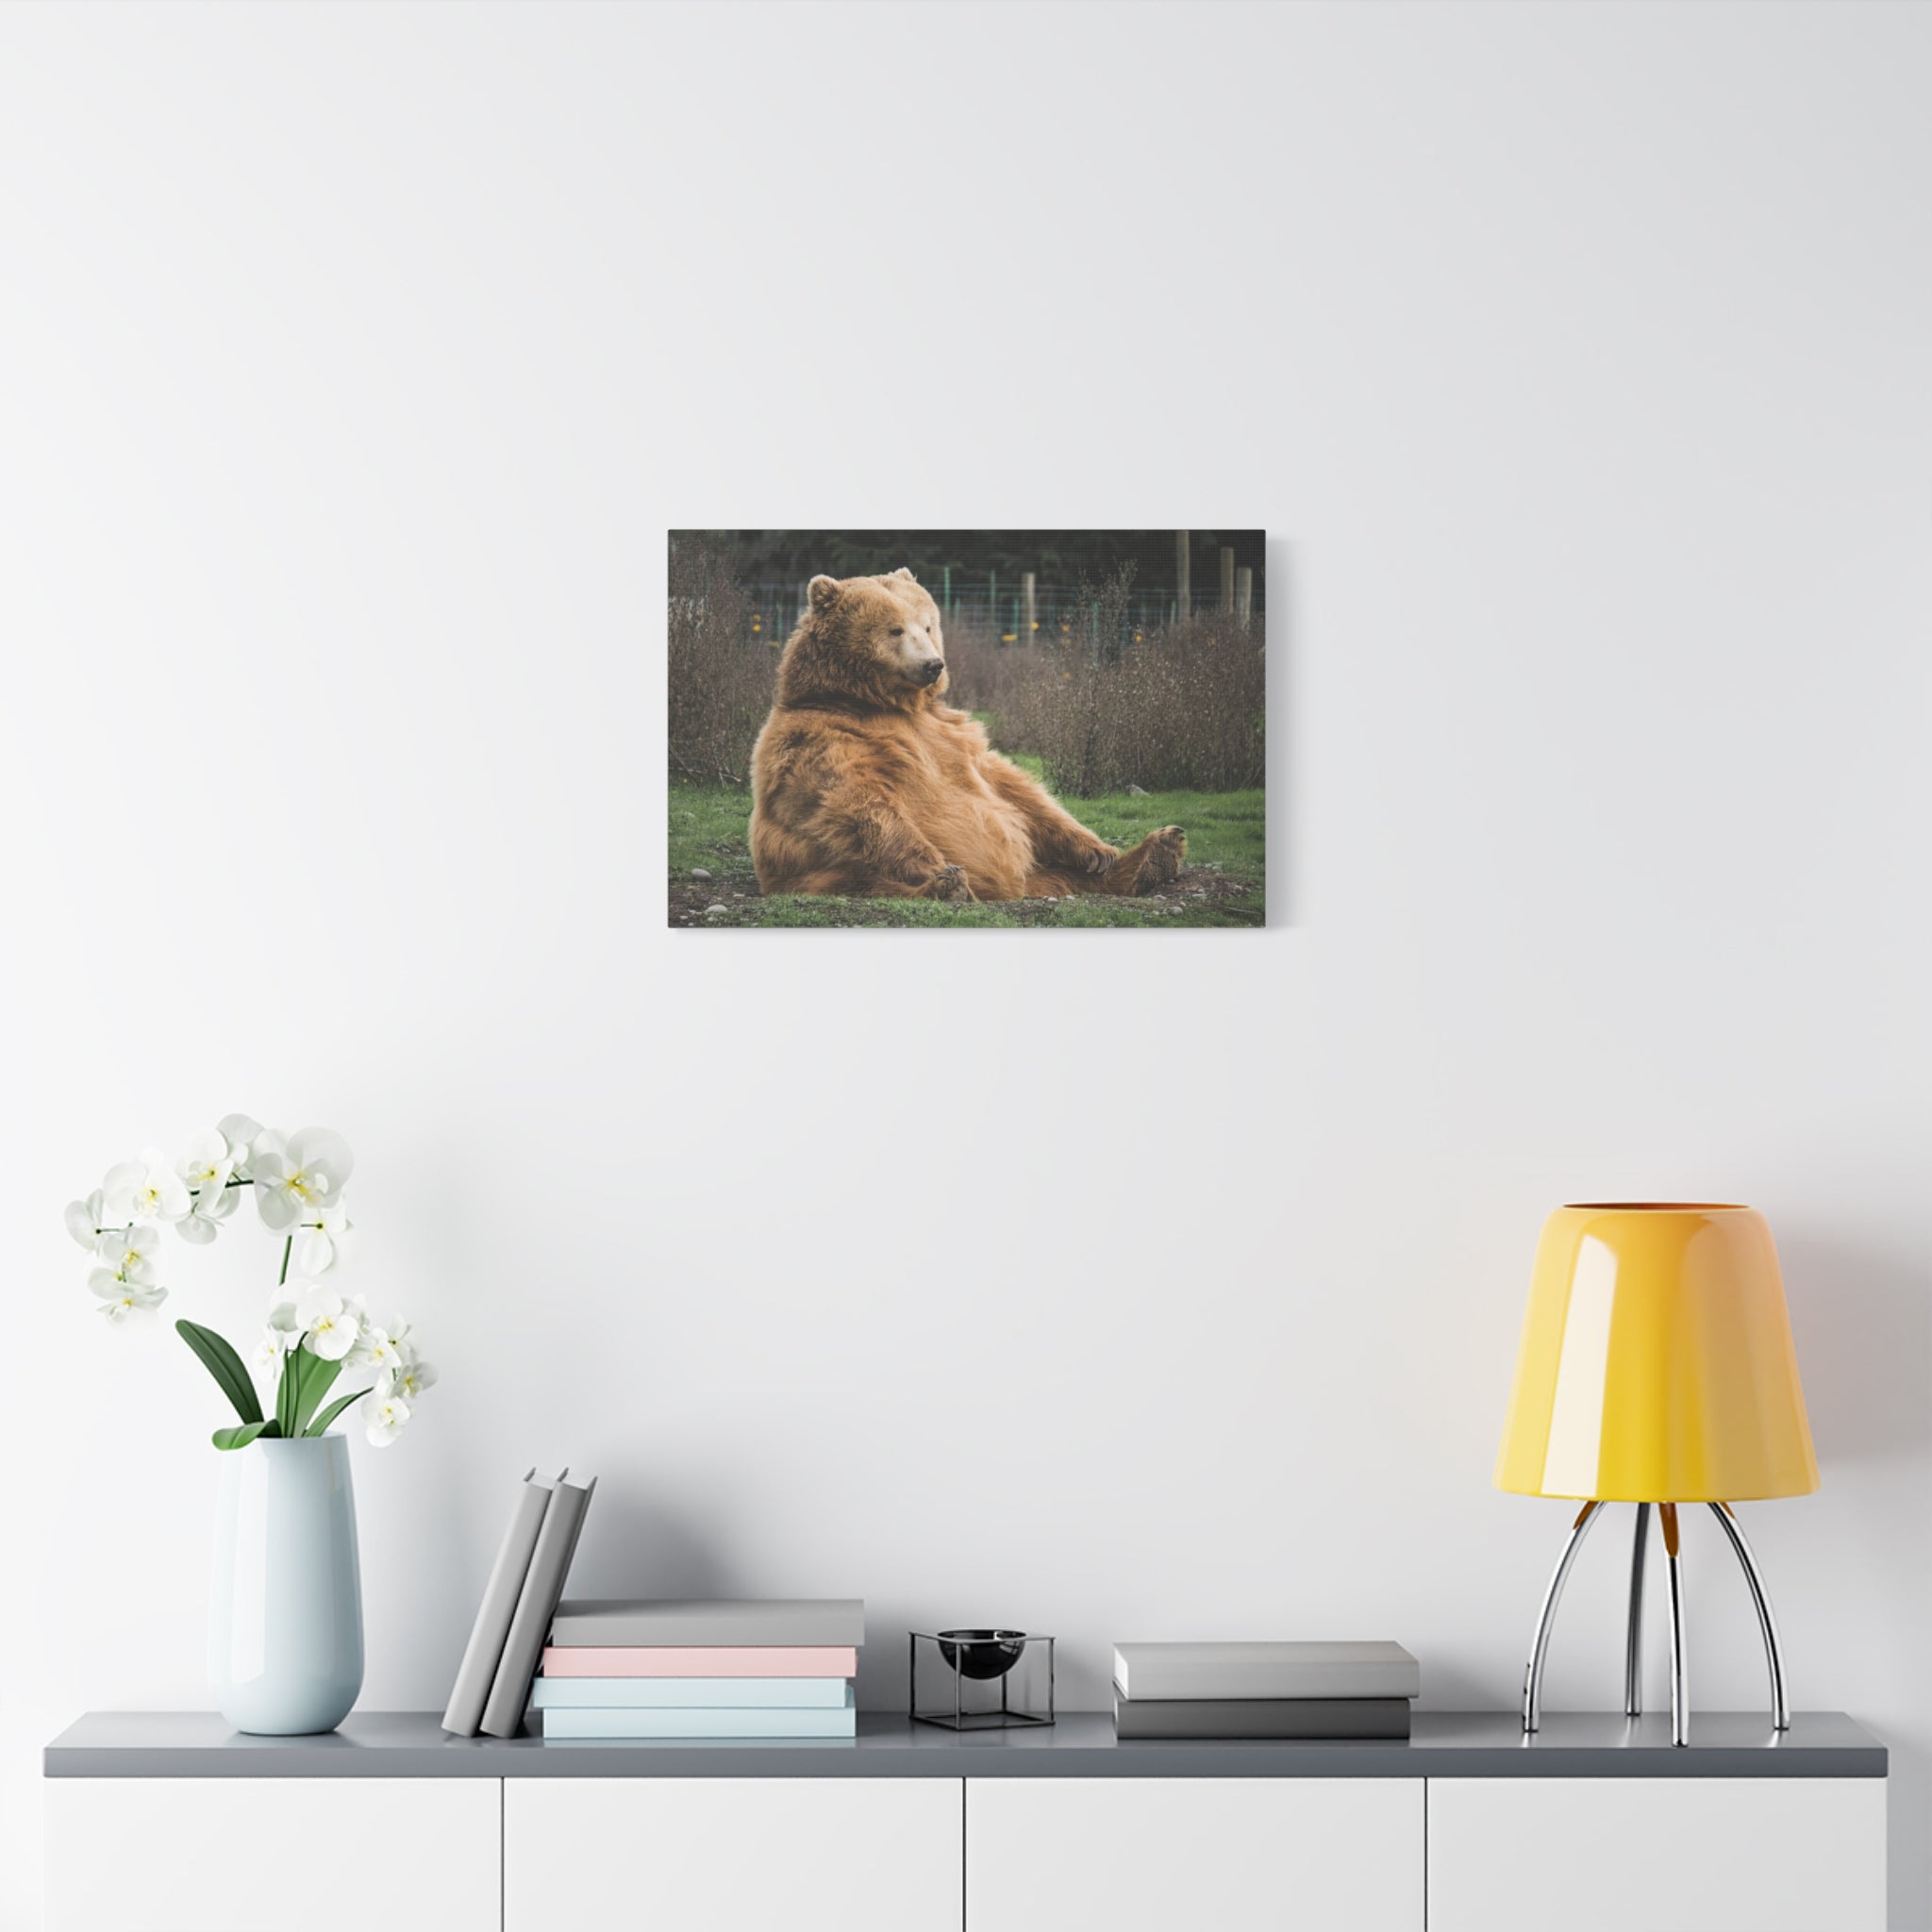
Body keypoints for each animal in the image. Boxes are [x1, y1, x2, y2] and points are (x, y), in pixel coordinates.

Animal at [749, 568, 1186, 903]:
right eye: (895, 630)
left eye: (927, 625)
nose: (933, 664)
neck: (880, 703)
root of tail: (1014, 889)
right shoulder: (822, 739)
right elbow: (857, 801)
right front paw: (939, 868)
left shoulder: (951, 734)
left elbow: (1013, 787)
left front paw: (1097, 850)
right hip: (816, 871)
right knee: (868, 880)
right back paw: (947, 886)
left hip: (1041, 869)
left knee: (1067, 874)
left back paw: (1156, 853)